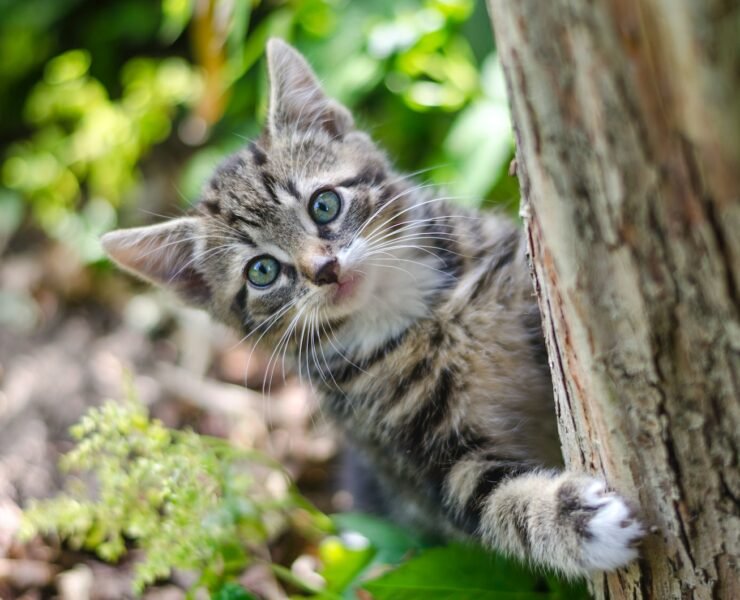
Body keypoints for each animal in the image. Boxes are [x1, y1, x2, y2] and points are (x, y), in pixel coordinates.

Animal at [101, 38, 644, 576]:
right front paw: (575, 520)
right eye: (262, 271)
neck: (414, 315)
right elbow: (494, 504)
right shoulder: (419, 459)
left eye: (324, 204)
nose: (324, 269)